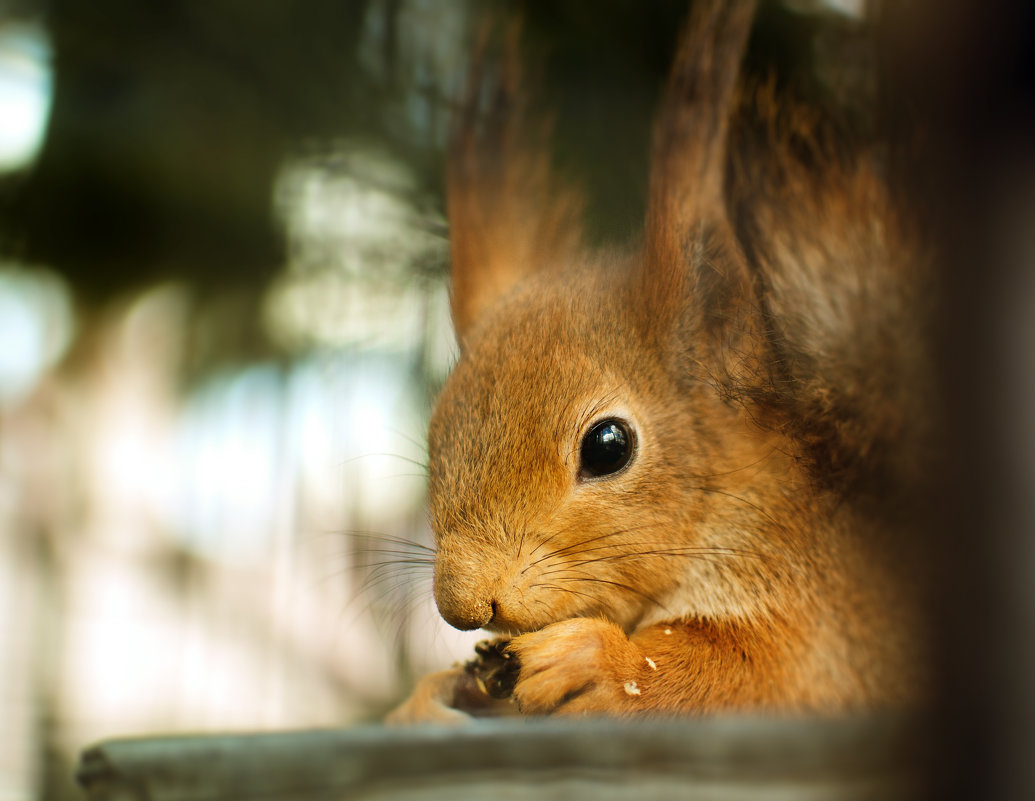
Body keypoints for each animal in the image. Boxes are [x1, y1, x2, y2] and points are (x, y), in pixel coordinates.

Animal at [389, 0, 939, 724]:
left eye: (608, 445)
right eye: (436, 433)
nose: (462, 601)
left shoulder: (817, 619)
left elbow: (747, 673)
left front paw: (594, 661)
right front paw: (427, 698)